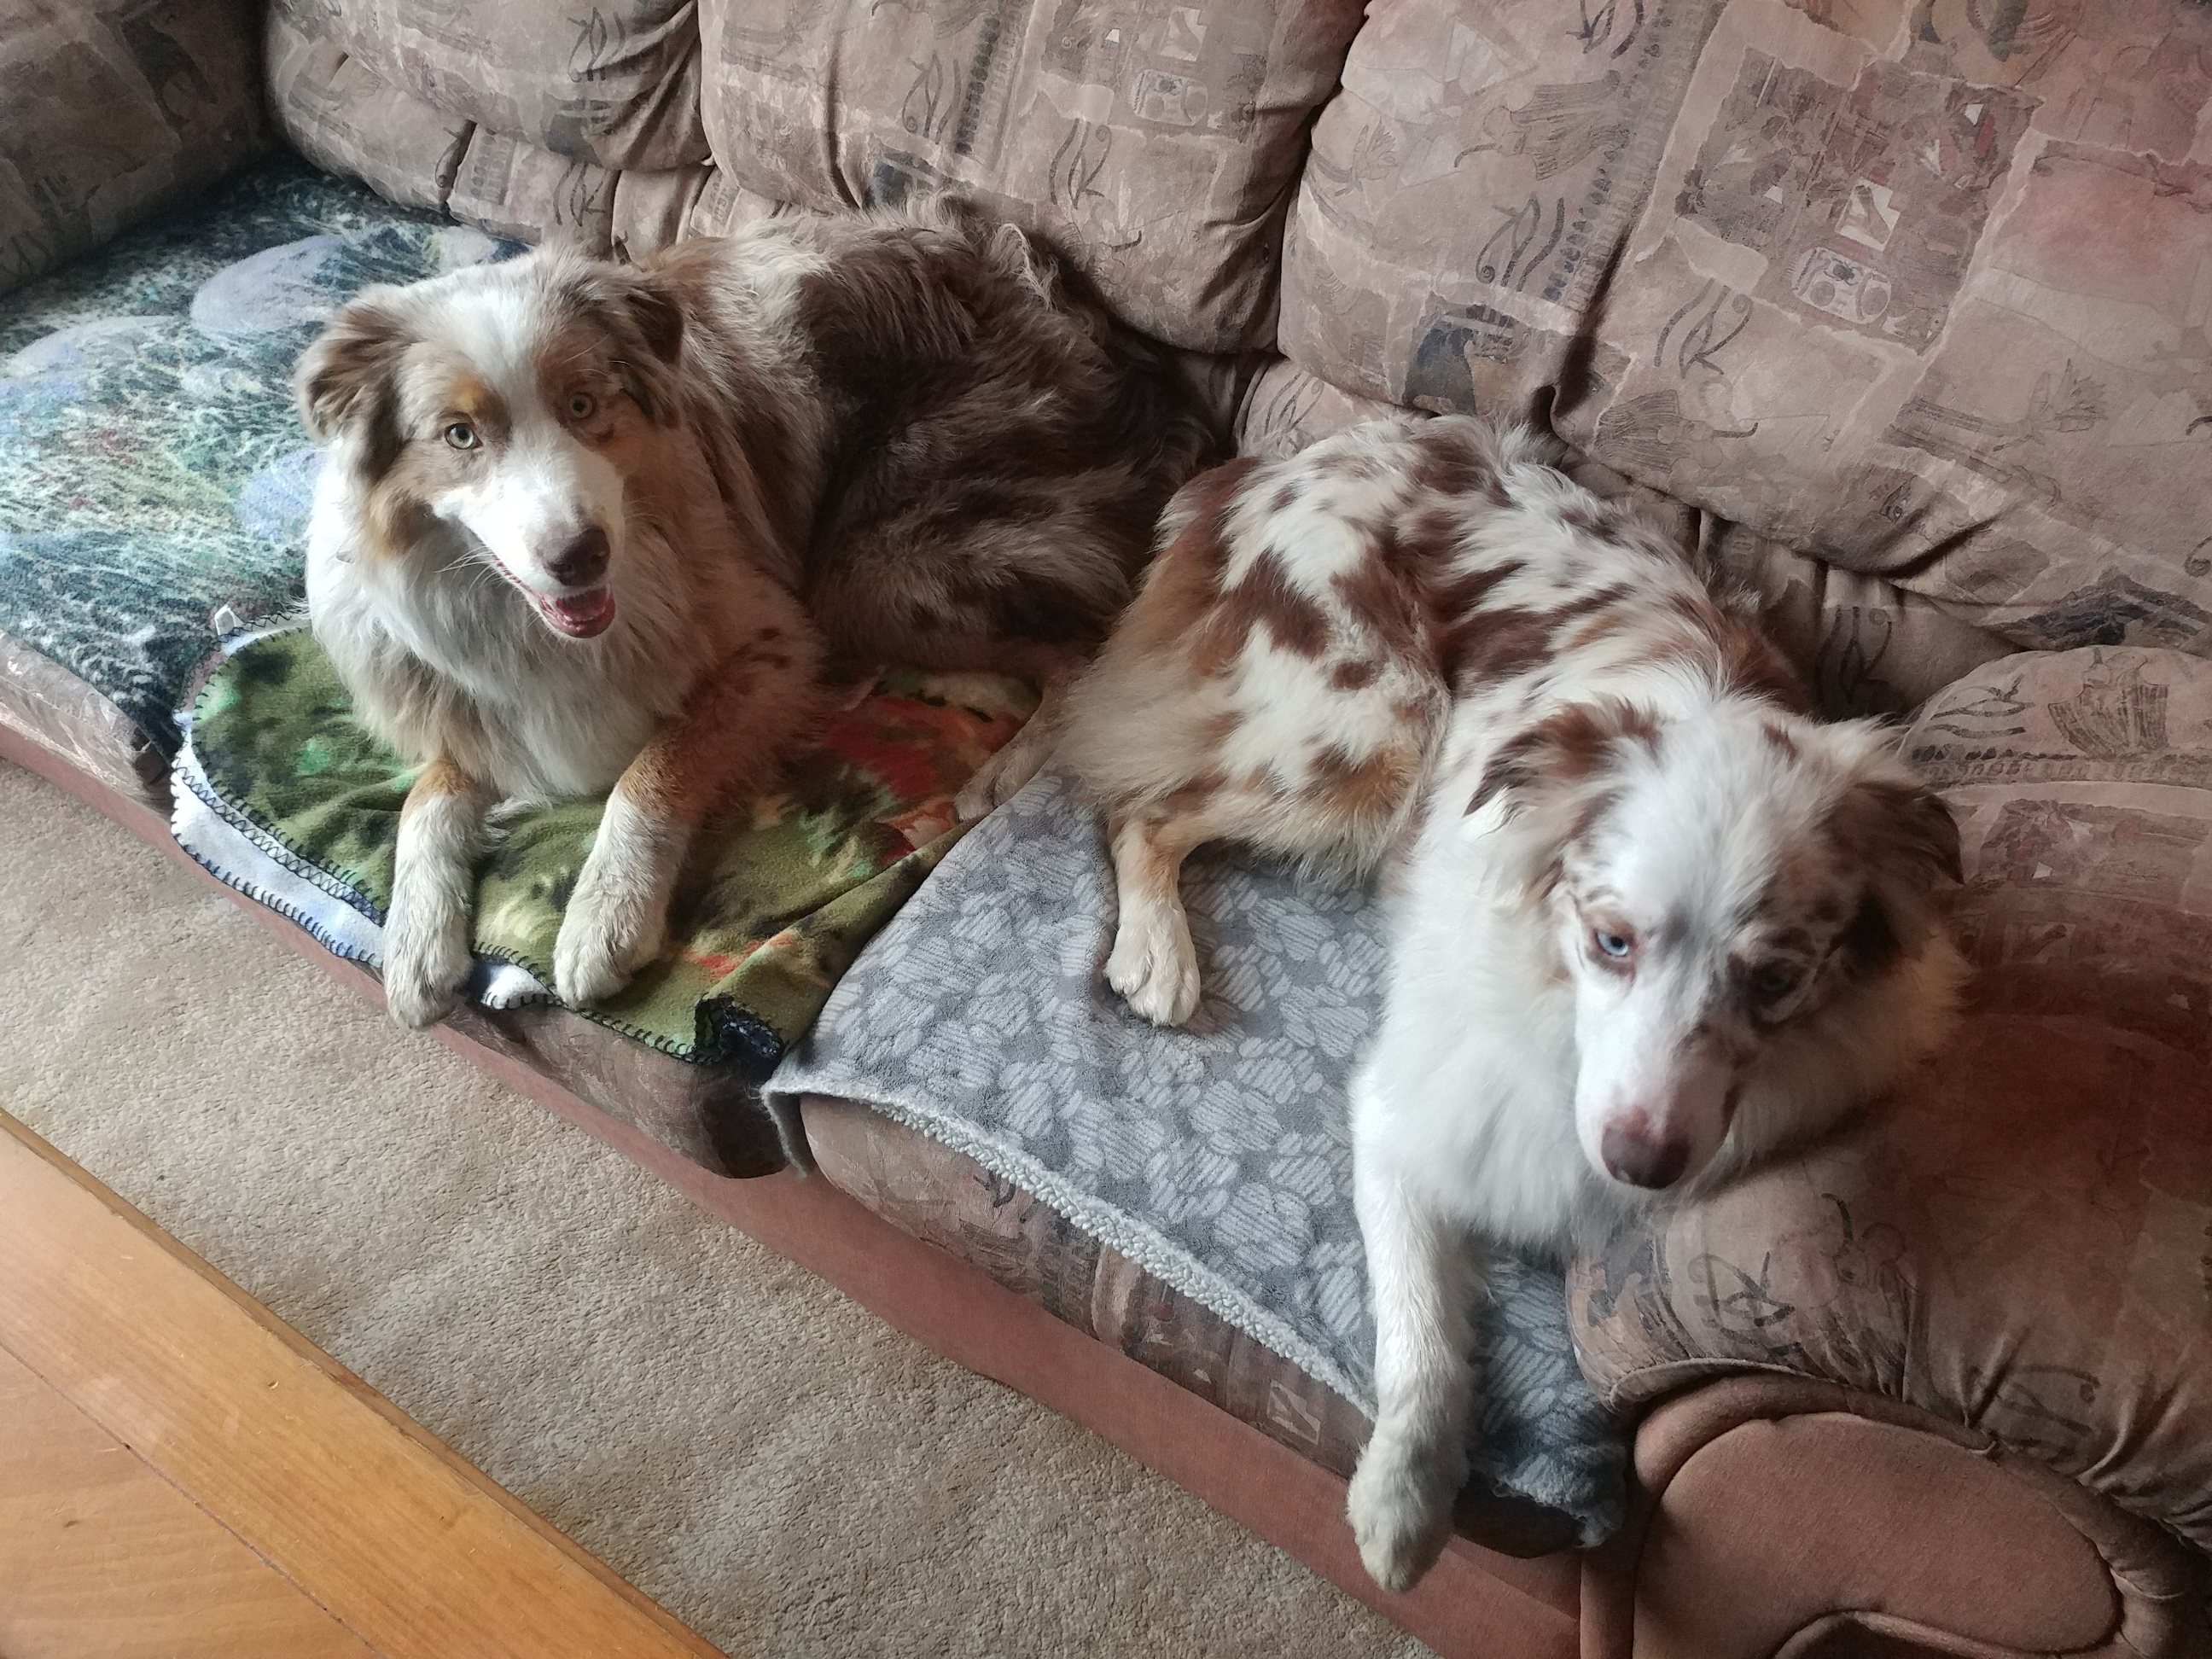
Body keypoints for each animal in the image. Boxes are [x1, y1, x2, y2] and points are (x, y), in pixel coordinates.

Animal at [297, 197, 1207, 1027]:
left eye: (584, 406)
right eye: (459, 436)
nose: (580, 557)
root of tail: (1043, 286)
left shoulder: (774, 644)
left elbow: (653, 768)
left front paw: (605, 920)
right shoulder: (474, 703)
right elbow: (426, 800)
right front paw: (414, 942)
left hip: (871, 565)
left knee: (1084, 653)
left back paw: (1002, 773)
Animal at [1057, 414, 1966, 1589]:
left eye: (1776, 978)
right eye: (1611, 939)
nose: (1641, 1162)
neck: (1555, 1014)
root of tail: (1277, 459)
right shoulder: (1404, 1116)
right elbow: (1422, 1341)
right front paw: (1402, 1507)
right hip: (1375, 721)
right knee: (1141, 801)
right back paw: (1158, 953)